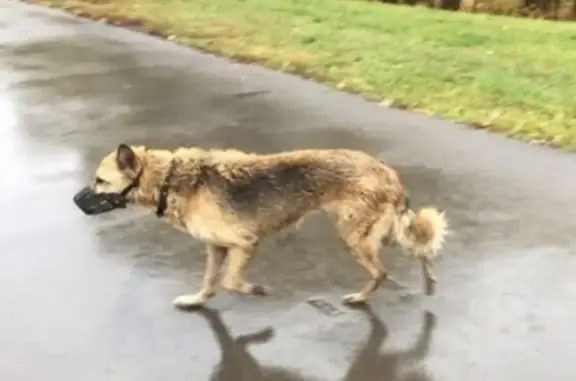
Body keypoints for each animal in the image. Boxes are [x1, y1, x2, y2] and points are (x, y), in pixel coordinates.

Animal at [73, 144, 450, 308]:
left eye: (100, 180)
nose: (74, 200)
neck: (167, 179)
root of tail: (388, 173)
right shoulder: (216, 248)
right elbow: (210, 281)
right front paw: (197, 300)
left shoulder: (244, 244)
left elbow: (230, 281)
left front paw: (256, 290)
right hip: (376, 234)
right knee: (421, 249)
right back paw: (430, 282)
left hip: (355, 238)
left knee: (382, 272)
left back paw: (360, 297)